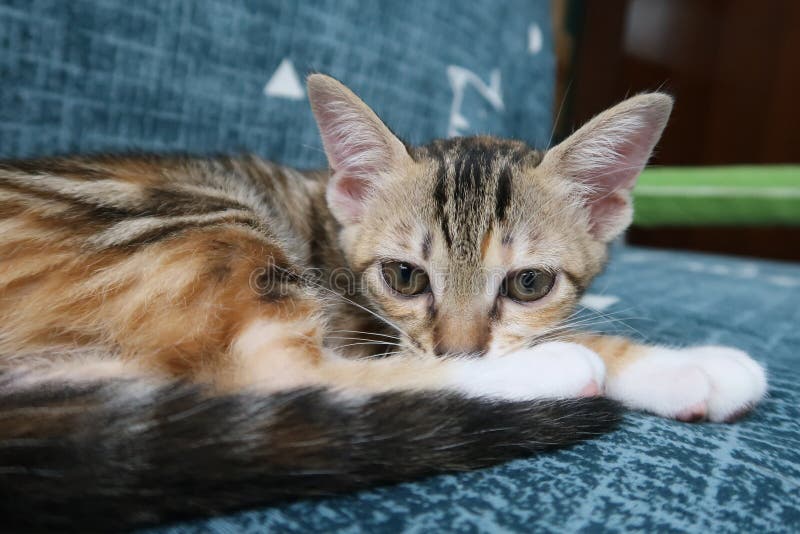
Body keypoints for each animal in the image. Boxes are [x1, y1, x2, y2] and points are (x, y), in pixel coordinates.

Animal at [0, 74, 764, 532]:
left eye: (528, 284)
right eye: (404, 278)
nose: (460, 347)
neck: (330, 223)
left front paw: (682, 369)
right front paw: (644, 359)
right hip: (187, 214)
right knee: (277, 370)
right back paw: (553, 373)